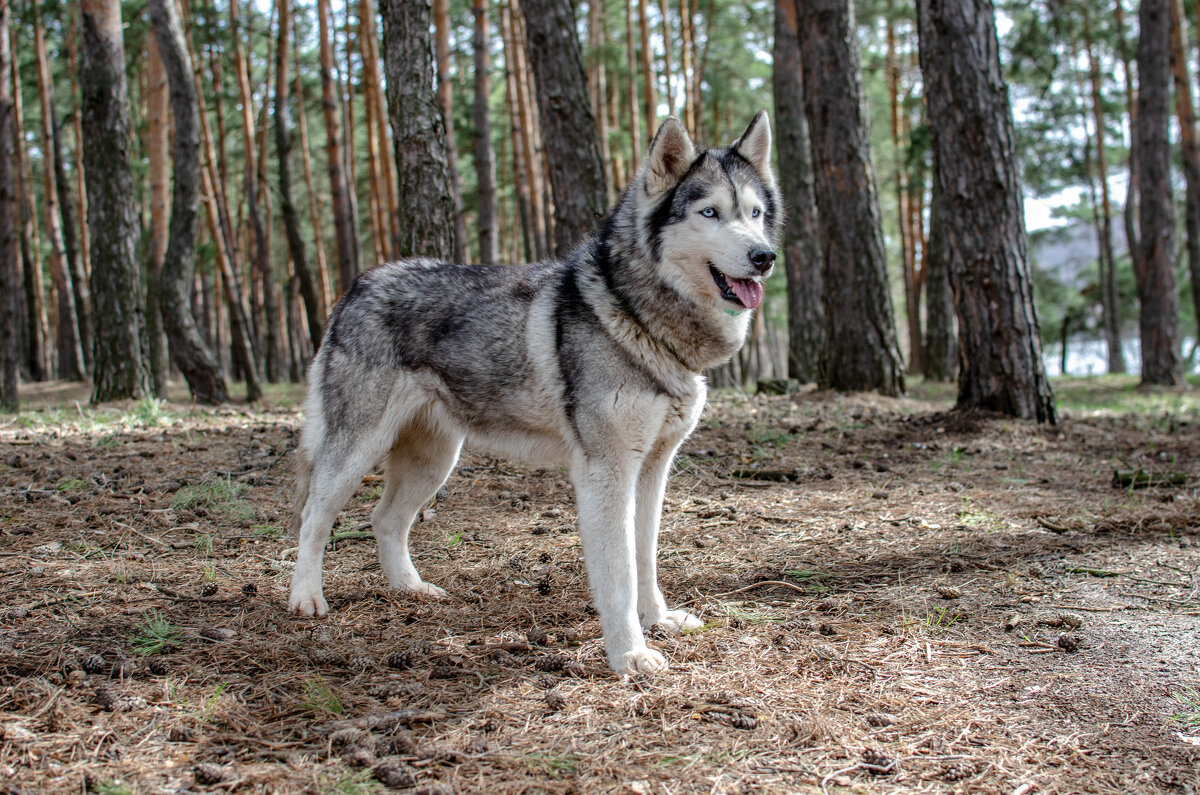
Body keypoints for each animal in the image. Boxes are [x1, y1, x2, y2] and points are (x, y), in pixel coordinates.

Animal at [286, 110, 782, 672]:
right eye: (711, 212)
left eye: (755, 213)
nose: (764, 256)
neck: (639, 317)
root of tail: (356, 284)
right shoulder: (606, 471)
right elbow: (618, 574)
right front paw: (630, 655)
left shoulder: (653, 470)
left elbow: (645, 558)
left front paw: (660, 621)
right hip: (357, 452)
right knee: (313, 516)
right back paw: (306, 598)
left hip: (434, 462)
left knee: (384, 519)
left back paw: (411, 590)